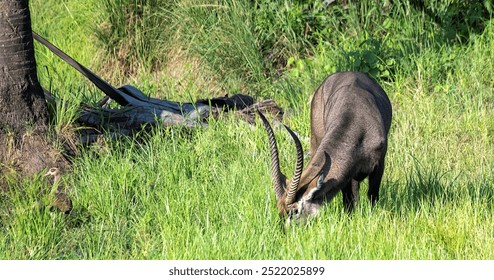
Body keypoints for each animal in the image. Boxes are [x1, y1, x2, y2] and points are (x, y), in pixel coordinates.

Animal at [258, 71, 394, 225]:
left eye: (295, 211)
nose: (284, 231)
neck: (357, 123)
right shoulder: (346, 176)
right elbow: (349, 199)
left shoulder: (379, 164)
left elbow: (372, 195)